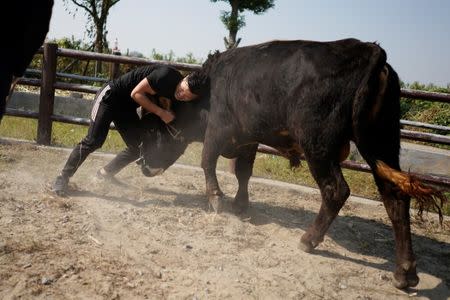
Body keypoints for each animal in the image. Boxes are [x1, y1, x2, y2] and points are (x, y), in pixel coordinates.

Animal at [140, 38, 446, 290]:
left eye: (156, 131)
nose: (143, 167)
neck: (210, 86)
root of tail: (369, 50)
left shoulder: (218, 129)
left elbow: (207, 161)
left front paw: (216, 199)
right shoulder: (248, 139)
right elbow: (243, 172)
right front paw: (241, 204)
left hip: (318, 147)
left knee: (336, 190)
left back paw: (309, 239)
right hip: (381, 144)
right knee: (395, 198)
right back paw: (405, 272)